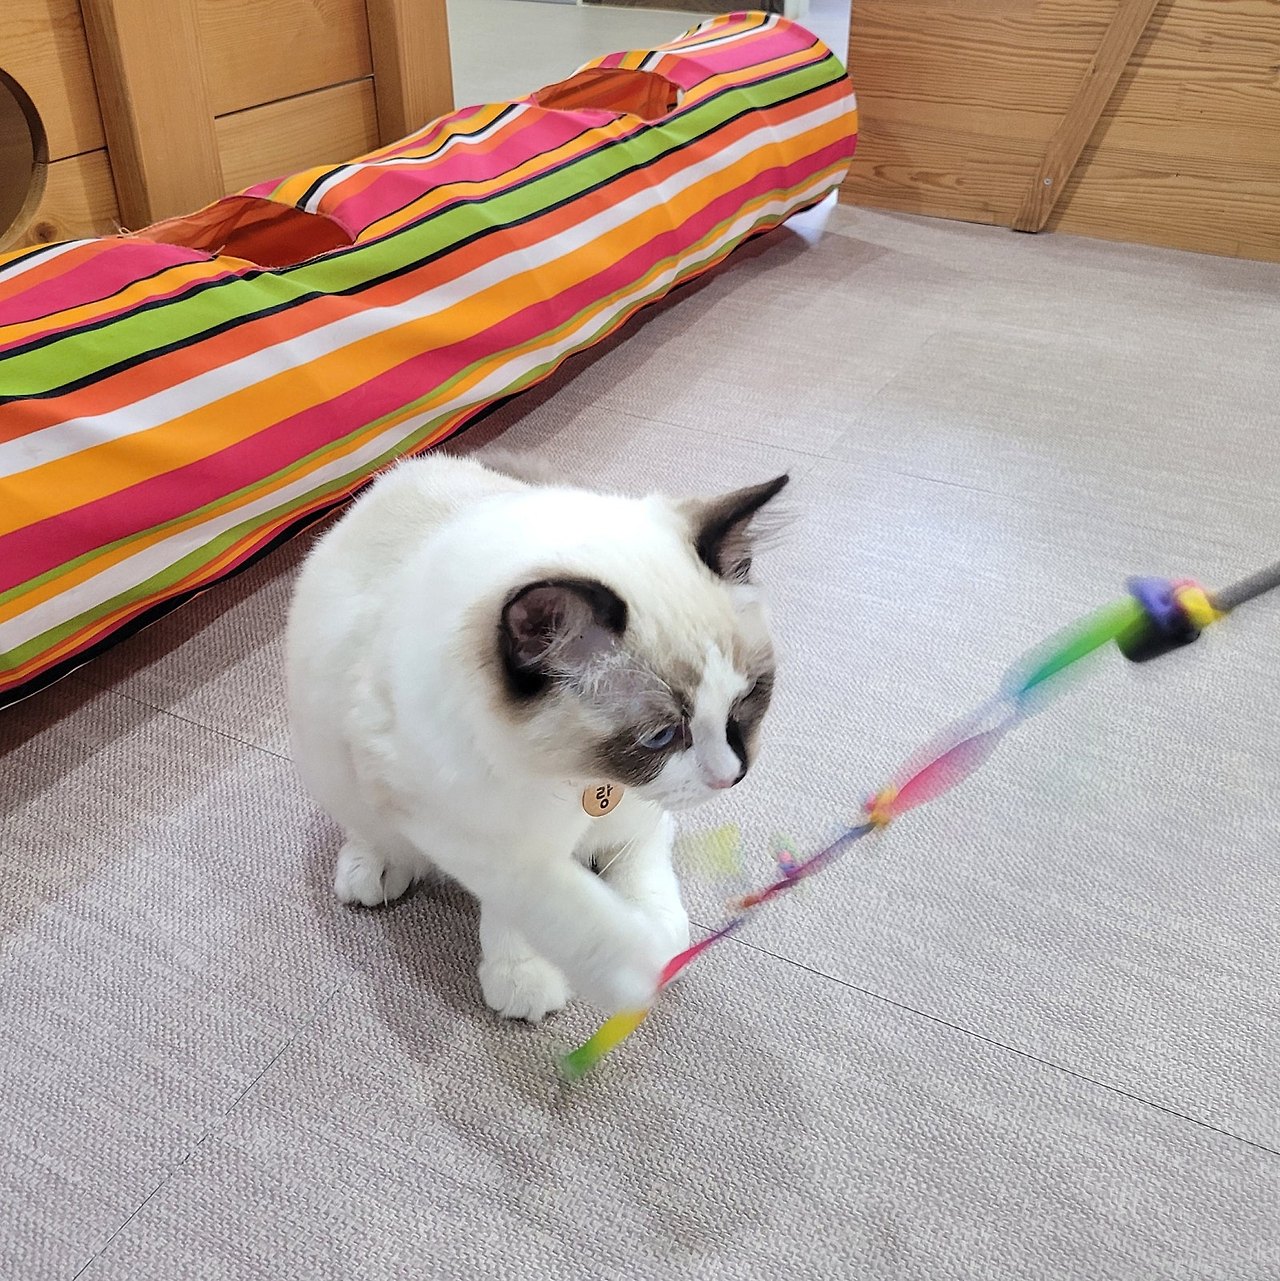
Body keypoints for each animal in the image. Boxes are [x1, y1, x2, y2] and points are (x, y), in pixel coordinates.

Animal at [285, 451, 787, 1021]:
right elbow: (555, 907)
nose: (732, 776)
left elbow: (641, 876)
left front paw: (661, 944)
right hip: (333, 760)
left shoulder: (634, 814)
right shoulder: (470, 831)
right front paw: (604, 970)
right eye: (660, 736)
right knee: (370, 829)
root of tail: (404, 471)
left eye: (747, 700)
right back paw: (373, 868)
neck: (579, 778)